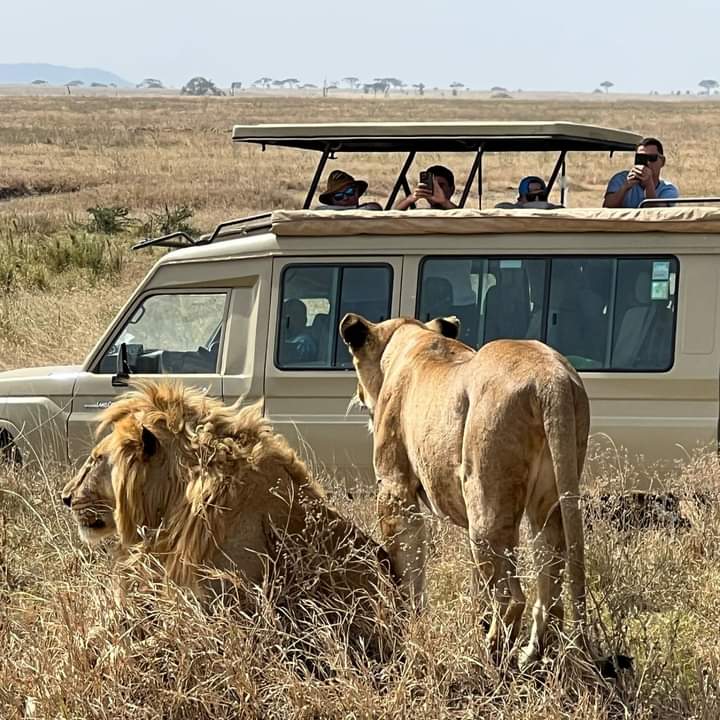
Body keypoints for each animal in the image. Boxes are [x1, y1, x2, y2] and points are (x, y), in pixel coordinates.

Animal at [342, 316, 592, 668]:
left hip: (485, 504)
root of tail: (551, 379)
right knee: (550, 593)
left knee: (512, 597)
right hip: (546, 503)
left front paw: (408, 622)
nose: (357, 393)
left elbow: (406, 565)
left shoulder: (395, 487)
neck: (409, 335)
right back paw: (531, 656)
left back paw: (489, 654)